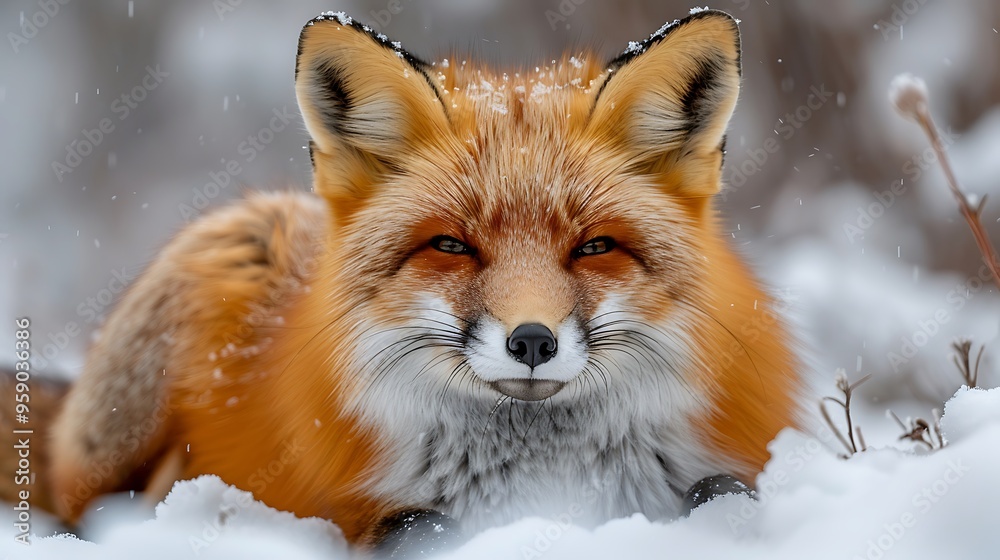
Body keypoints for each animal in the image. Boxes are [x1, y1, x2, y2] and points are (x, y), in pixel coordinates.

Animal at [31, 8, 801, 556]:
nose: (532, 342)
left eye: (595, 247)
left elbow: (725, 493)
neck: (543, 480)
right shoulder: (365, 512)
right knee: (87, 506)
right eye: (452, 245)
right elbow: (415, 525)